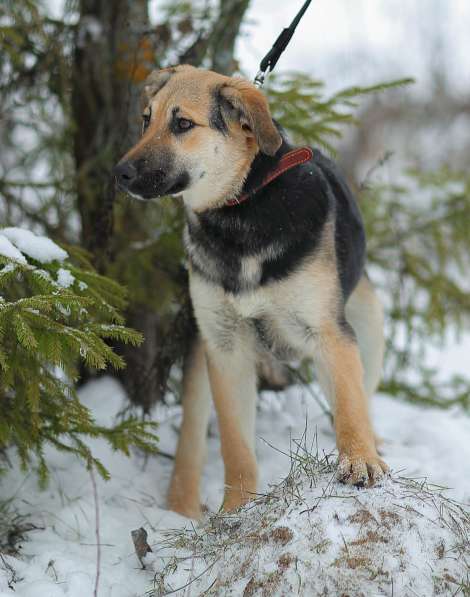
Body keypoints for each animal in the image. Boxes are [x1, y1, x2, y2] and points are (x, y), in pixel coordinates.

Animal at [114, 64, 390, 516]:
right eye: (145, 120)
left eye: (182, 124)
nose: (120, 174)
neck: (241, 209)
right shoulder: (226, 348)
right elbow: (236, 446)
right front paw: (237, 508)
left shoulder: (331, 335)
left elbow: (351, 409)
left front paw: (360, 460)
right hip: (201, 349)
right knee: (192, 432)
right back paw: (181, 505)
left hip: (367, 331)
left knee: (359, 397)